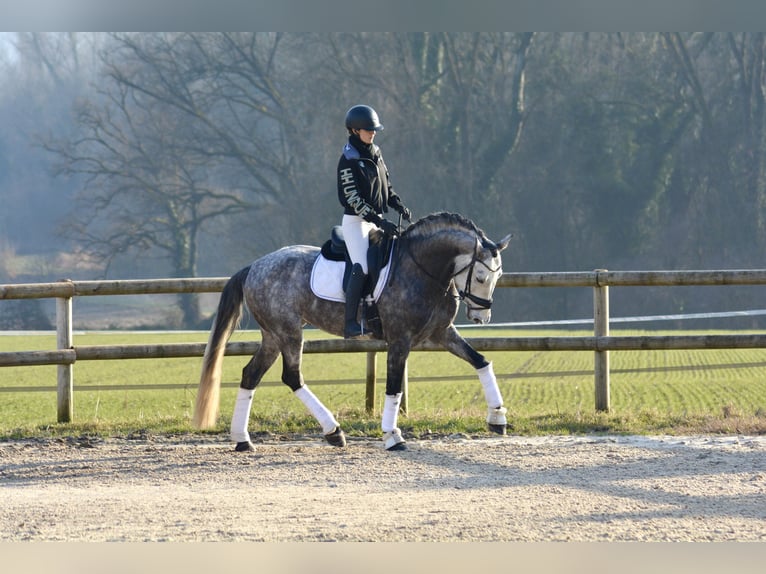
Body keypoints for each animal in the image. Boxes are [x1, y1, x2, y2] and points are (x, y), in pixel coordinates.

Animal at [195, 214, 512, 452]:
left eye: (498, 276)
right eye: (481, 276)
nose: (481, 316)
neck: (421, 268)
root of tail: (254, 267)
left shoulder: (442, 333)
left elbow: (481, 361)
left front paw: (497, 418)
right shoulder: (400, 339)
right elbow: (394, 387)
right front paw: (392, 436)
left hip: (273, 336)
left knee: (251, 375)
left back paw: (243, 440)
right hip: (288, 332)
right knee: (292, 376)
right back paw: (333, 431)